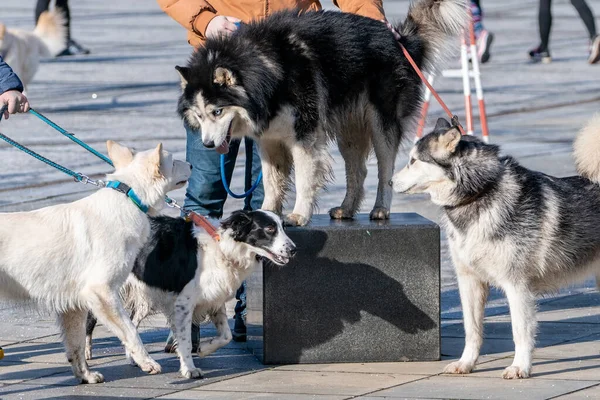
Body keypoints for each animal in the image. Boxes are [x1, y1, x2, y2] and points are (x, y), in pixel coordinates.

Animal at [0, 139, 191, 382]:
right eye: (174, 161)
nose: (192, 165)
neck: (128, 198)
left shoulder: (73, 306)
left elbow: (77, 347)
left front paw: (86, 377)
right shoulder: (102, 293)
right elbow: (131, 332)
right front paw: (146, 362)